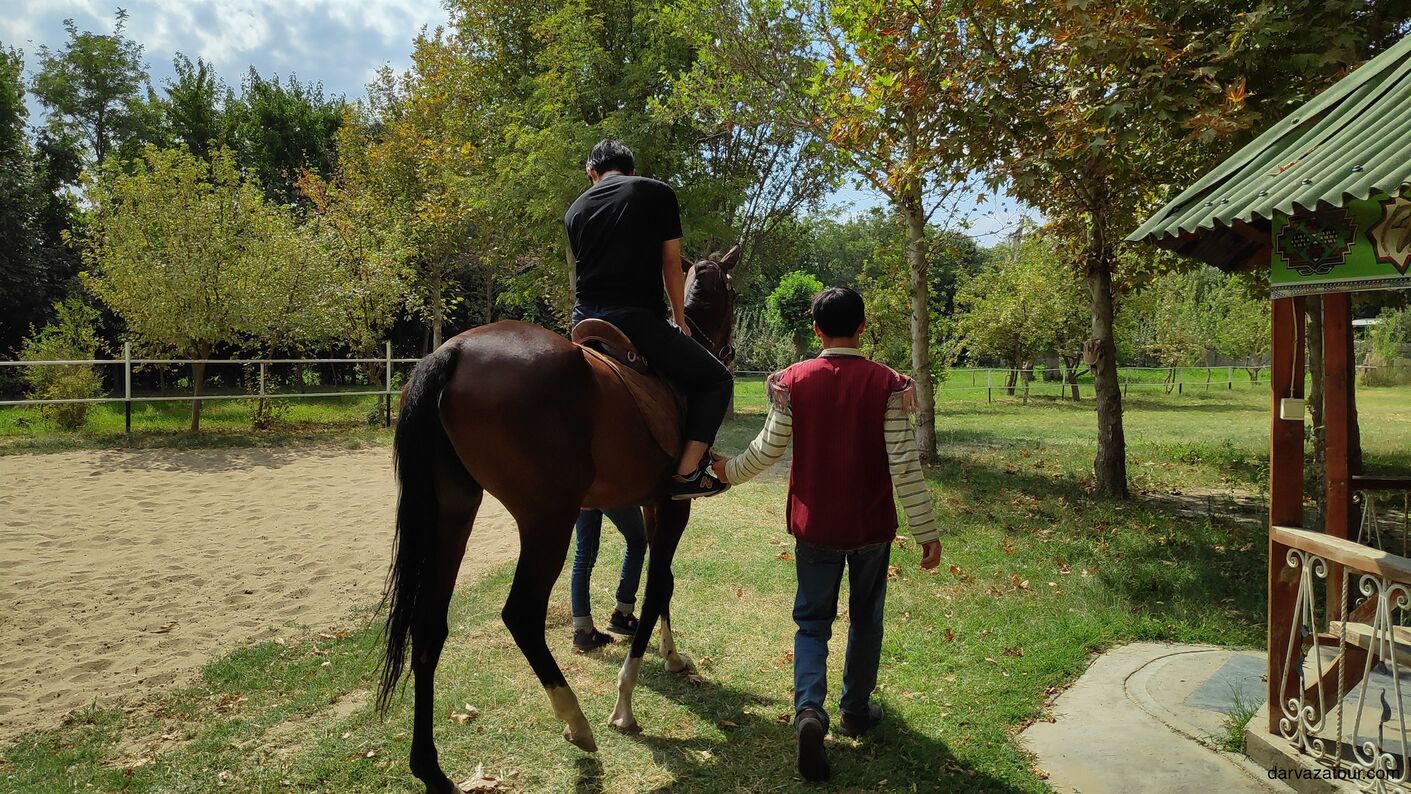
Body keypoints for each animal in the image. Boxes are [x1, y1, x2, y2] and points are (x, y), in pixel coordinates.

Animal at [378, 247, 740, 792]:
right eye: (734, 293)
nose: (729, 352)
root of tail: (452, 353)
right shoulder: (676, 502)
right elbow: (659, 584)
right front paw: (625, 705)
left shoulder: (653, 504)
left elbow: (665, 582)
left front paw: (672, 656)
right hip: (548, 518)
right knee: (521, 614)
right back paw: (576, 720)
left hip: (453, 512)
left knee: (428, 625)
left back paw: (432, 769)